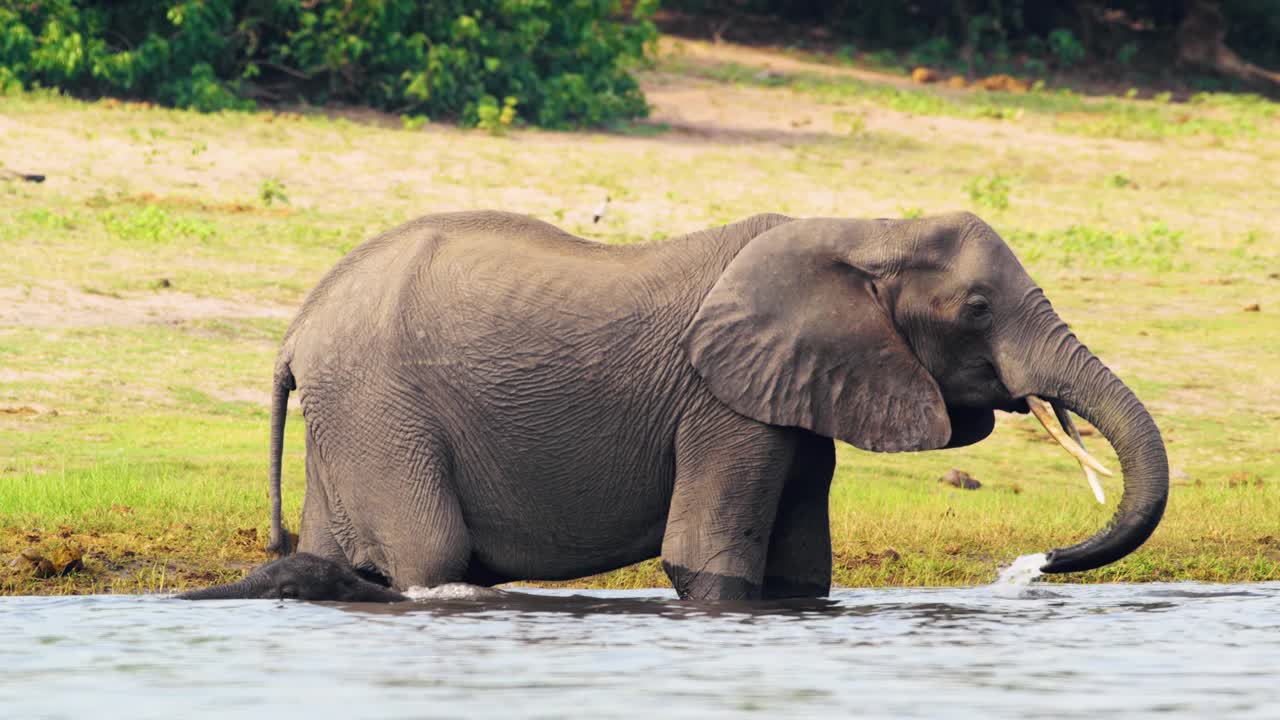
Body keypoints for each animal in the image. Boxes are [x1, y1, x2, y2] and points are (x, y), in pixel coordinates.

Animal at [183, 208, 1172, 599]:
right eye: (974, 309)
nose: (1038, 560)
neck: (858, 229)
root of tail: (297, 329)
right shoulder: (721, 406)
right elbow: (706, 557)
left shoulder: (790, 392)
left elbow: (800, 569)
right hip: (381, 408)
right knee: (431, 553)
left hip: (352, 415)